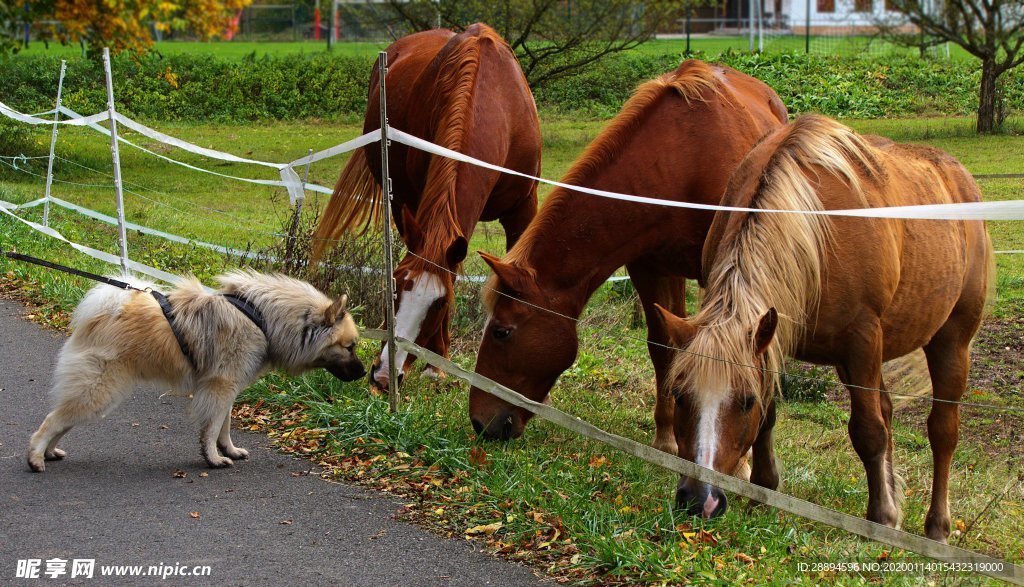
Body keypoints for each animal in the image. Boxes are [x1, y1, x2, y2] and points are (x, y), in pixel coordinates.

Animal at [27, 270, 368, 471]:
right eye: (349, 347)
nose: (365, 373)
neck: (262, 318)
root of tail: (101, 314)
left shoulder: (228, 388)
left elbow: (224, 426)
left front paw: (229, 450)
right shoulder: (220, 387)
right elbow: (212, 427)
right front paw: (213, 458)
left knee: (62, 421)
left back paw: (51, 453)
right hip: (100, 390)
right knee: (51, 421)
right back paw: (36, 457)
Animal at [311, 24, 540, 389]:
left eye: (440, 304)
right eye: (394, 285)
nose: (384, 375)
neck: (494, 101)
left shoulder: (522, 210)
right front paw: (436, 363)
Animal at [468, 59, 786, 450]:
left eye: (502, 331)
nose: (481, 422)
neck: (681, 160)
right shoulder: (649, 268)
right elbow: (663, 348)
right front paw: (667, 438)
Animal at [655, 112, 991, 540]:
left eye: (744, 401)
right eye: (679, 395)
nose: (699, 500)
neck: (812, 228)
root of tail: (957, 175)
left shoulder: (862, 340)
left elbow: (868, 432)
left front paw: (881, 517)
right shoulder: (774, 338)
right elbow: (773, 417)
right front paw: (764, 489)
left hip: (950, 341)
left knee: (942, 432)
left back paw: (936, 527)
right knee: (889, 412)